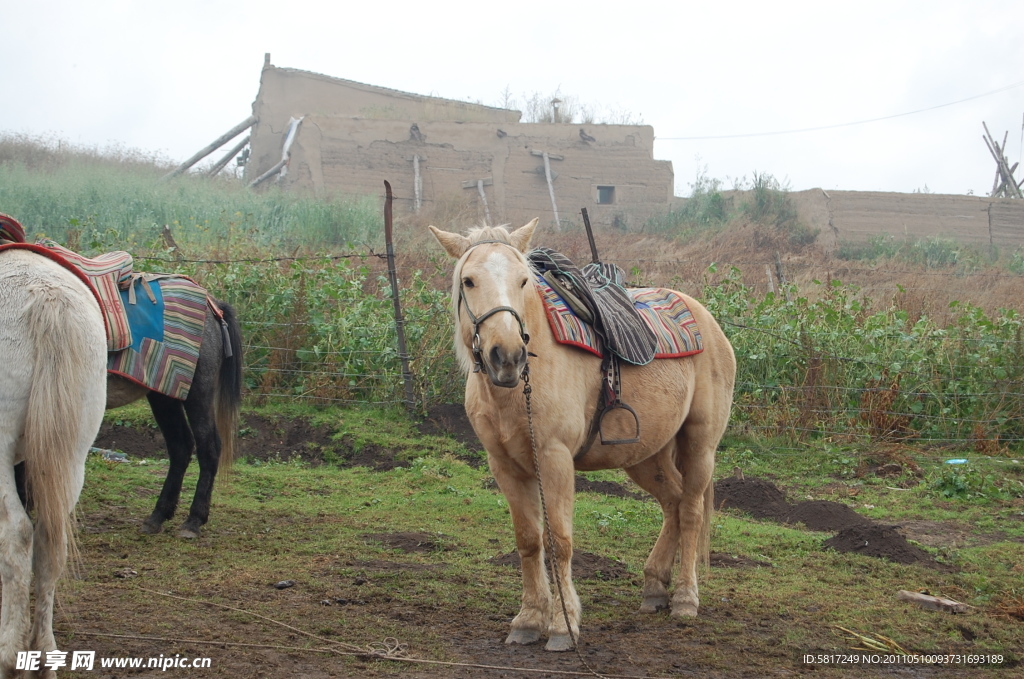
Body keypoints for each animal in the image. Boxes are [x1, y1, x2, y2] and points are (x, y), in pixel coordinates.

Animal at [0, 250, 108, 679]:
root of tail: (46, 298)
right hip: (71, 458)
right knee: (49, 542)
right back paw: (43, 656)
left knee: (16, 535)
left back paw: (9, 655)